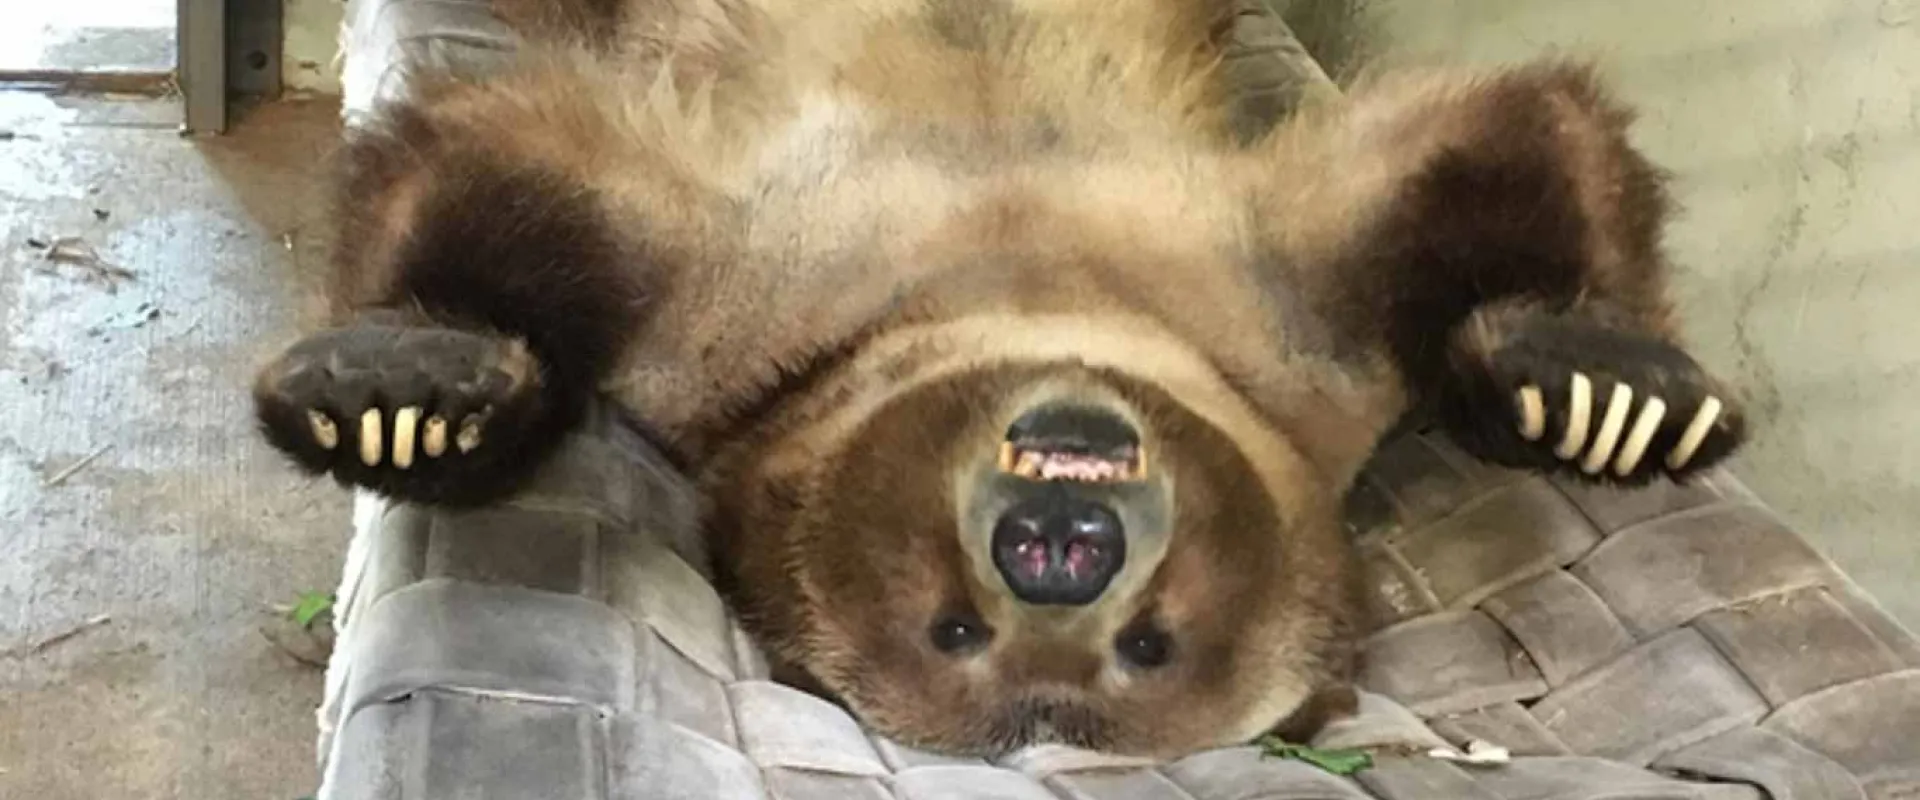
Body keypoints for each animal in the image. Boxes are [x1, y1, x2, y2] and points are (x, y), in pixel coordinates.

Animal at [251, 0, 1746, 760]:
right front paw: (403, 384)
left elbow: (1500, 143)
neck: (1022, 275)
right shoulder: (751, 280)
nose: (1060, 542)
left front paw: (1605, 391)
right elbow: (515, 172)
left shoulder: (1283, 312)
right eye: (955, 625)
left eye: (1150, 647)